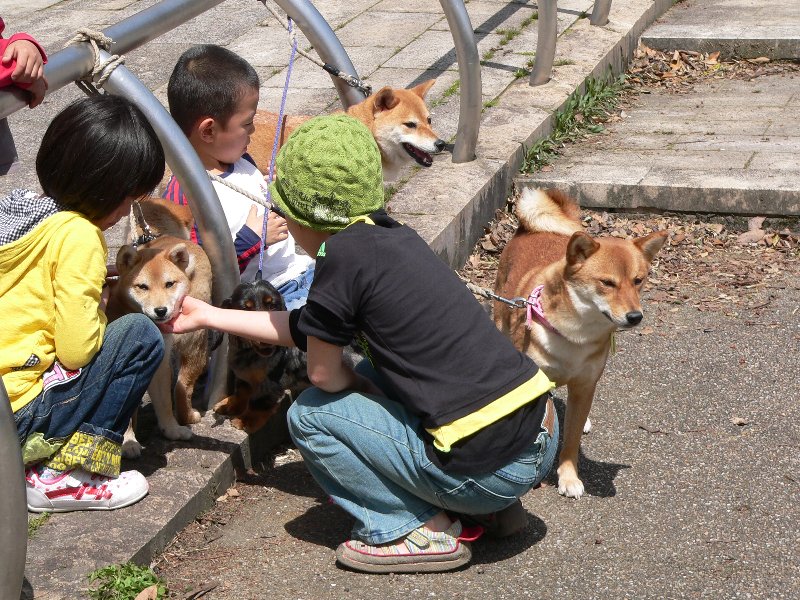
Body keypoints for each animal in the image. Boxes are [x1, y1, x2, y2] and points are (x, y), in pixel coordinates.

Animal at [108, 200, 212, 456]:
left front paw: (170, 430)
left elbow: (164, 402)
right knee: (183, 386)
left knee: (181, 386)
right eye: (142, 287)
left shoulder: (160, 365)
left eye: (169, 284)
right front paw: (128, 442)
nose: (161, 311)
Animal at [211, 278, 310, 434]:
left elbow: (258, 403)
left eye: (273, 305)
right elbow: (241, 392)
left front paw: (244, 420)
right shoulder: (244, 377)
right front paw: (229, 404)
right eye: (245, 309)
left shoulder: (270, 384)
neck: (248, 352)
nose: (266, 339)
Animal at [494, 188, 667, 499]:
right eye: (607, 283)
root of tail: (531, 228)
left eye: (638, 280)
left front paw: (568, 476)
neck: (575, 334)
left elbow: (571, 440)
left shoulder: (586, 384)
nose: (635, 316)